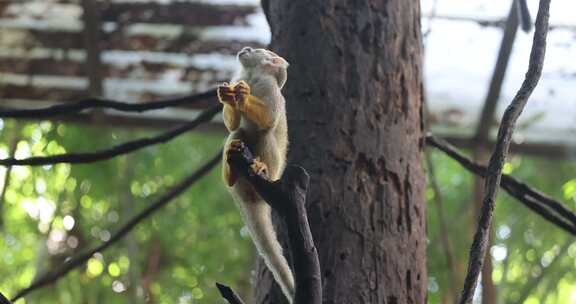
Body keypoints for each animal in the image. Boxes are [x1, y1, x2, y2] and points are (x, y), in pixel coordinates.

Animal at [218, 46, 294, 300]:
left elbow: (269, 119)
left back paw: (261, 168)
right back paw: (230, 174)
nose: (246, 49)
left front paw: (242, 96)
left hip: (274, 172)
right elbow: (232, 127)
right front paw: (229, 97)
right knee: (237, 134)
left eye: (259, 50)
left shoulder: (271, 87)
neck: (253, 76)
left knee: (265, 133)